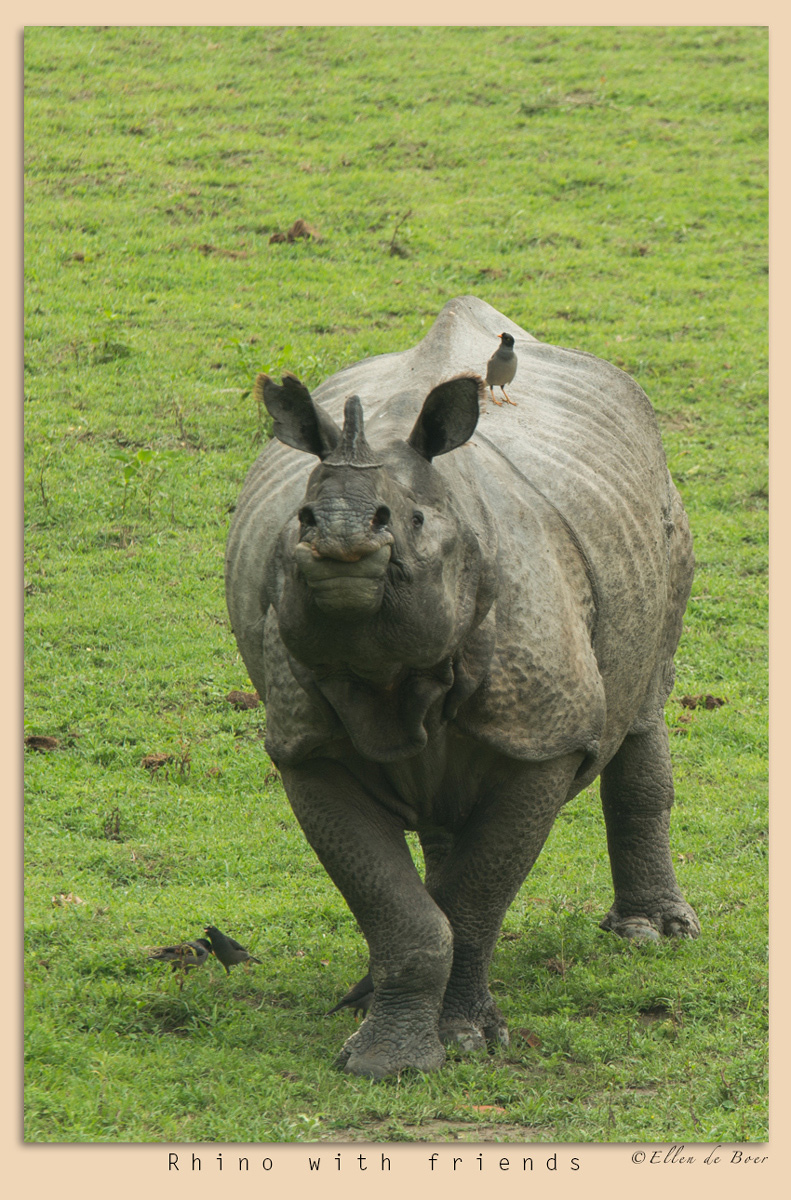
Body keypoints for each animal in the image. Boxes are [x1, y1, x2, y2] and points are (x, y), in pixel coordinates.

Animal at [225, 295, 699, 1079]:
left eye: (411, 519)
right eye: (302, 516)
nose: (341, 538)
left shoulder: (542, 739)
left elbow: (474, 897)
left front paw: (463, 1038)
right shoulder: (304, 745)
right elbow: (400, 908)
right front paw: (384, 1057)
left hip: (661, 510)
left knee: (641, 707)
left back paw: (651, 935)